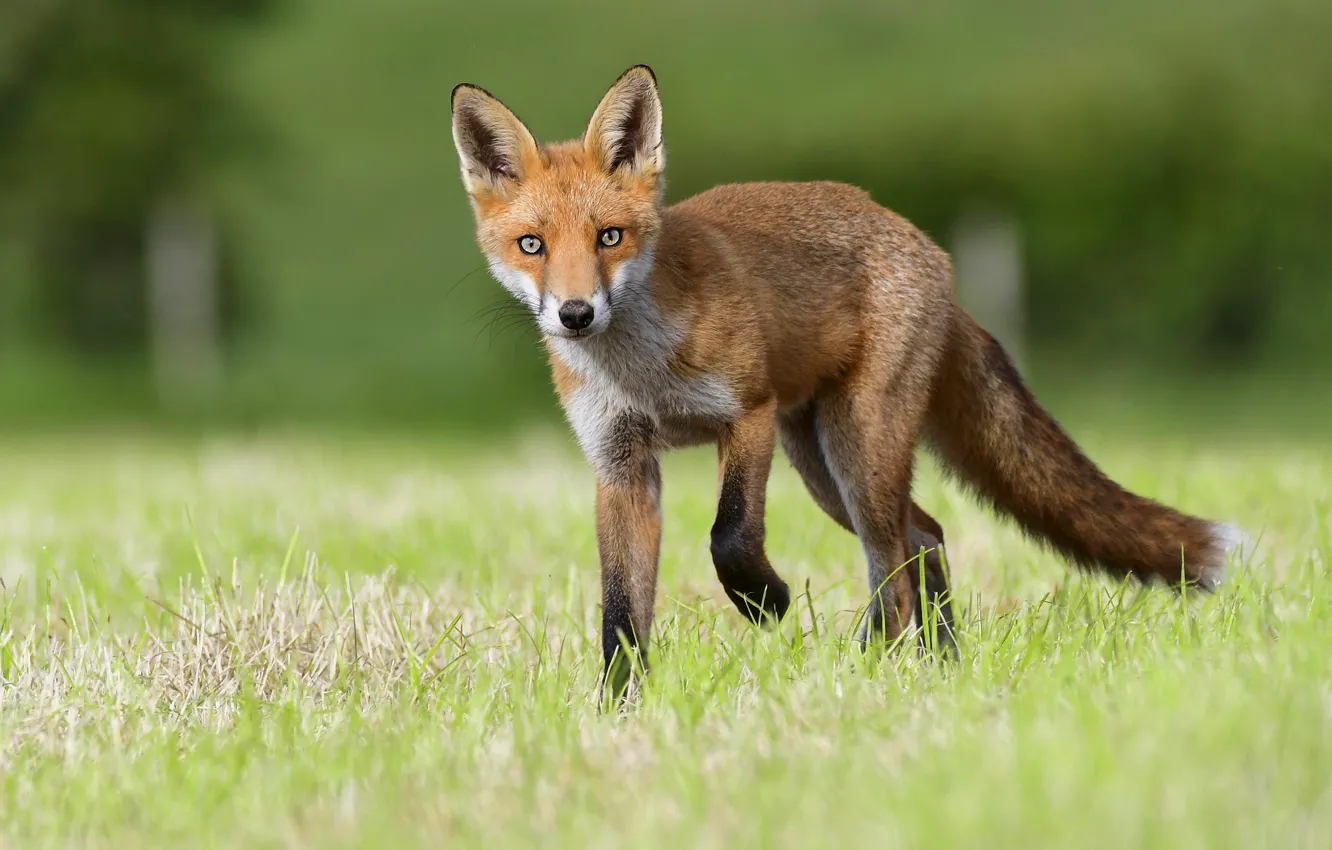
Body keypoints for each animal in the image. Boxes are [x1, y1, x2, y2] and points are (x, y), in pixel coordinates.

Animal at [450, 64, 1246, 698]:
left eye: (610, 237)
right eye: (532, 245)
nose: (576, 314)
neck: (640, 371)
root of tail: (931, 252)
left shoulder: (747, 412)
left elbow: (729, 536)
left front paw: (765, 603)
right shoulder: (621, 464)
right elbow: (621, 613)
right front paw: (618, 712)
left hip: (855, 447)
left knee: (894, 564)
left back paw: (875, 670)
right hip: (823, 463)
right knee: (923, 539)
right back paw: (936, 666)